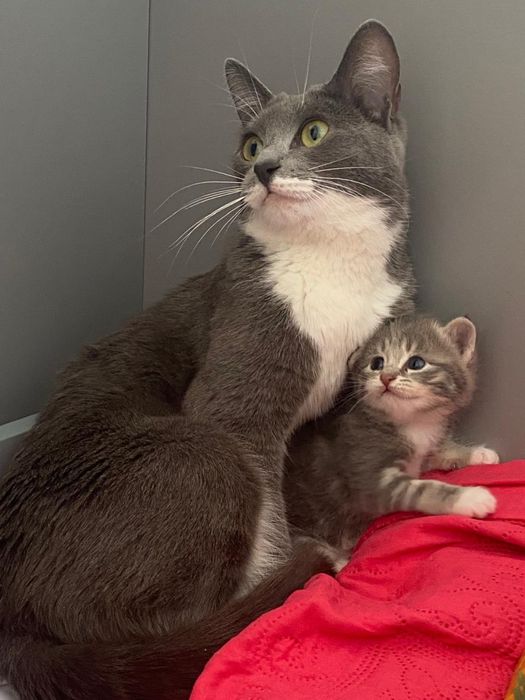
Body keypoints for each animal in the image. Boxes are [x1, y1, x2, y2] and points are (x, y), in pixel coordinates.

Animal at [0, 20, 415, 700]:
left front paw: (337, 530)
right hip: (200, 457)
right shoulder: (237, 388)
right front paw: (290, 568)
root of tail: (14, 615)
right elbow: (266, 509)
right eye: (250, 144)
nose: (264, 167)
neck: (327, 262)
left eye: (313, 132)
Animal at [285, 315, 499, 559]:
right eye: (376, 363)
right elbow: (422, 488)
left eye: (416, 363)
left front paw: (477, 453)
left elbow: (437, 453)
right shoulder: (370, 474)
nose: (386, 377)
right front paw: (470, 497)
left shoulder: (421, 452)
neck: (412, 424)